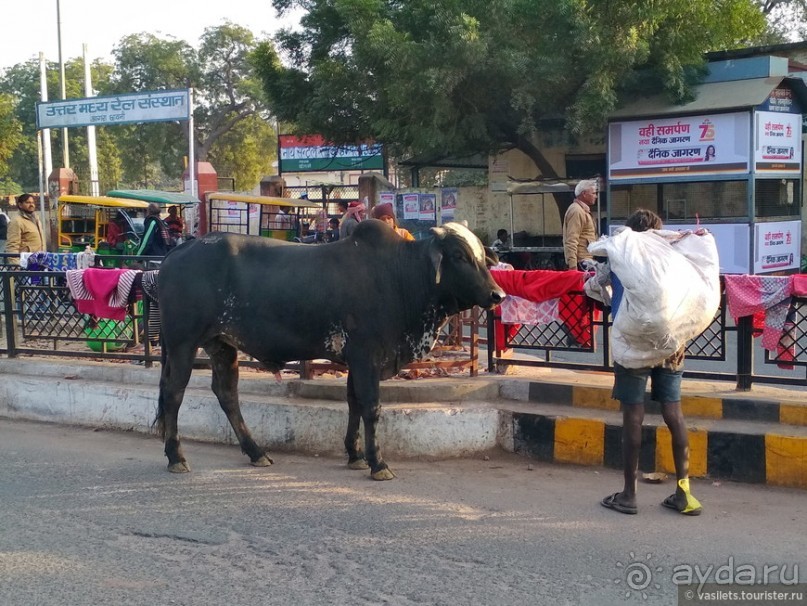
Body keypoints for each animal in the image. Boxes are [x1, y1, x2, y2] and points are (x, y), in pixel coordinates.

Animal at [155, 221, 502, 482]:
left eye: (482, 256)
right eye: (459, 255)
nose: (497, 295)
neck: (401, 275)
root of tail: (178, 252)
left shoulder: (356, 360)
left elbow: (353, 403)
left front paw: (355, 454)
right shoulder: (366, 356)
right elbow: (371, 407)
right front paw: (378, 463)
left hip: (222, 346)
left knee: (226, 394)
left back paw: (256, 452)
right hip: (183, 344)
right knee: (174, 393)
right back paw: (175, 456)